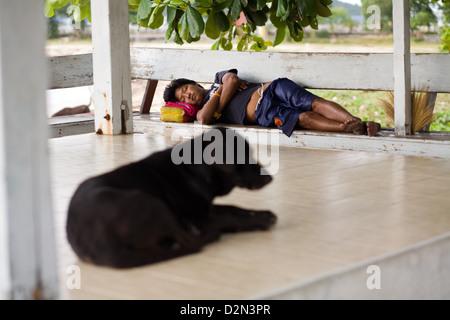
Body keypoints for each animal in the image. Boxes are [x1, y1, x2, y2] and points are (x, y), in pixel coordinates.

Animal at [67, 127, 276, 268]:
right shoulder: (200, 218)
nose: (270, 177)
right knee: (190, 241)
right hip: (154, 204)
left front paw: (263, 214)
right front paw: (261, 221)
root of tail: (99, 246)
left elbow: (234, 208)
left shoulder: (207, 208)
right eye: (245, 157)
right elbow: (231, 217)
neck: (197, 169)